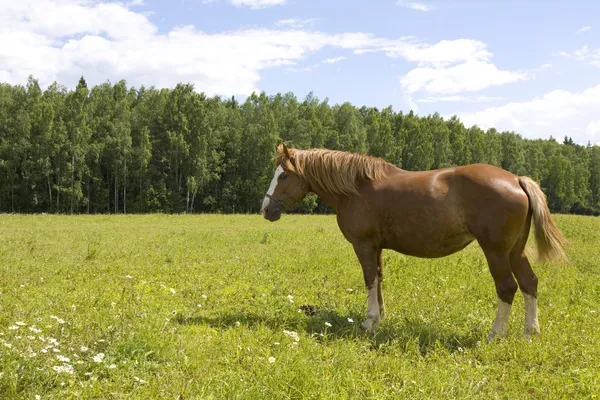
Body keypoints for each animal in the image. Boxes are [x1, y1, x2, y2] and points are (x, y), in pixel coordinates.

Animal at [260, 144, 568, 340]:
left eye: (283, 175)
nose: (265, 209)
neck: (357, 187)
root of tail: (516, 179)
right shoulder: (376, 247)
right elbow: (379, 280)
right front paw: (380, 318)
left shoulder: (363, 245)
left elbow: (369, 280)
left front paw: (369, 322)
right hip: (515, 251)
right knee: (529, 283)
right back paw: (530, 333)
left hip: (496, 252)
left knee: (507, 288)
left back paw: (495, 334)